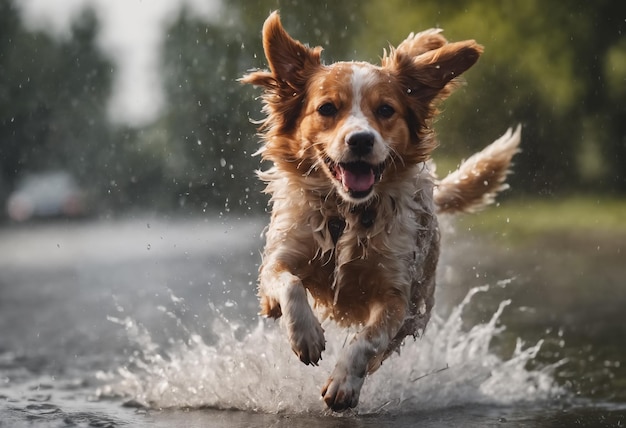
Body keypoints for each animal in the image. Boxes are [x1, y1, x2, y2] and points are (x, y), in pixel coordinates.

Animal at [241, 10, 520, 412]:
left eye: (386, 110)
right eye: (327, 109)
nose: (361, 139)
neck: (347, 215)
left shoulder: (397, 297)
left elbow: (368, 341)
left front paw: (344, 383)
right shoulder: (279, 259)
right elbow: (289, 285)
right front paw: (306, 335)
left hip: (419, 305)